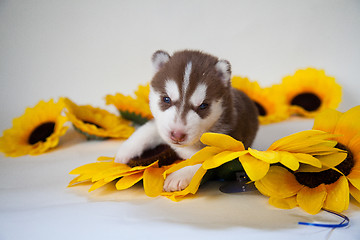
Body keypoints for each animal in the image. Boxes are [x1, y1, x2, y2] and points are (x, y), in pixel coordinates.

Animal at [115, 49, 258, 192]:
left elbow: (201, 159)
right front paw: (125, 151)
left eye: (203, 106)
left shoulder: (224, 145)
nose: (177, 135)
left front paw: (178, 176)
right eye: (166, 99)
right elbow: (147, 130)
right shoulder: (162, 126)